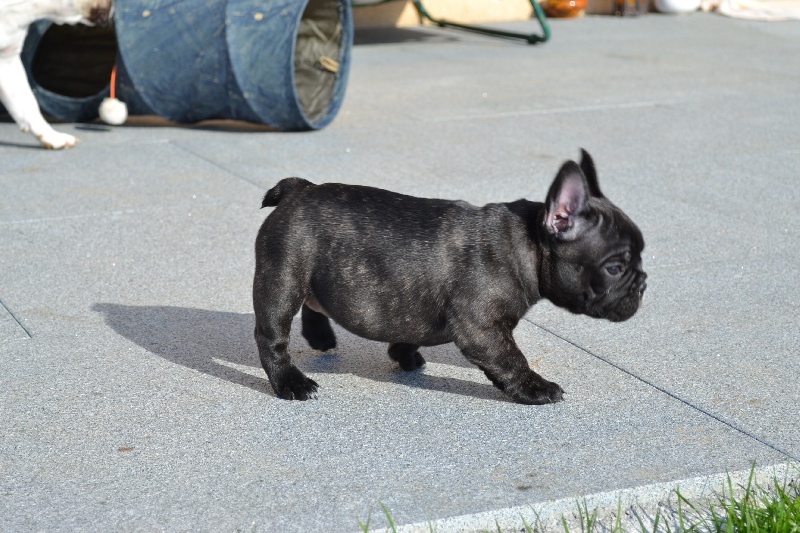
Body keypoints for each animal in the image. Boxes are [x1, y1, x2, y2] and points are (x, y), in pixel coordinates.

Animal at [253, 150, 647, 404]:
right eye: (615, 267)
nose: (643, 283)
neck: (526, 244)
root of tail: (300, 188)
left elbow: (409, 332)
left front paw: (404, 354)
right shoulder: (482, 328)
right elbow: (510, 360)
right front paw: (535, 388)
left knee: (314, 303)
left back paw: (320, 338)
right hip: (282, 279)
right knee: (271, 337)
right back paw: (290, 383)